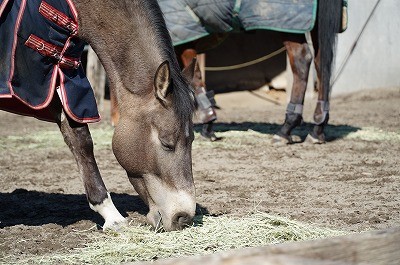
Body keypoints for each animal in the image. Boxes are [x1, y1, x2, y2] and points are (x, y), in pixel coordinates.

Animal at [0, 0, 197, 231]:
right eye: (166, 143)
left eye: (192, 141)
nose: (184, 217)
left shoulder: (61, 77)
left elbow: (80, 140)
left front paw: (111, 215)